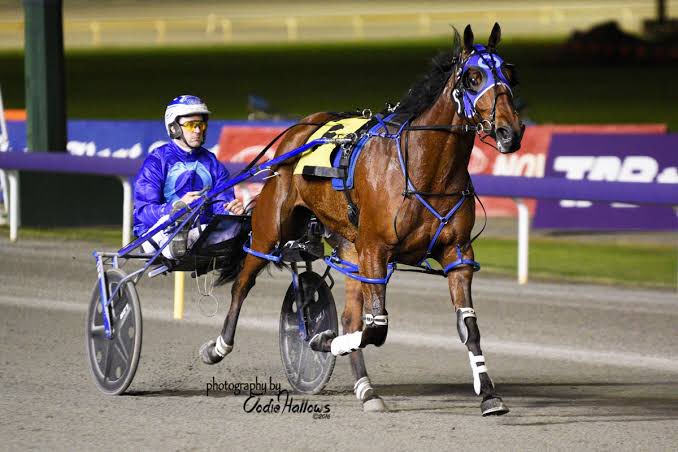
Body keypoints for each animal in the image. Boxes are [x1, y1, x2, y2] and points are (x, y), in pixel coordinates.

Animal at [200, 23, 523, 416]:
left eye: (511, 74)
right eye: (473, 77)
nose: (511, 132)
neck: (425, 172)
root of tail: (301, 127)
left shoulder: (457, 254)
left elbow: (466, 327)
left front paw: (489, 393)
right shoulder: (375, 250)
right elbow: (376, 328)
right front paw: (322, 339)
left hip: (349, 249)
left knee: (351, 315)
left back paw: (366, 388)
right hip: (271, 228)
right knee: (243, 283)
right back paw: (219, 346)